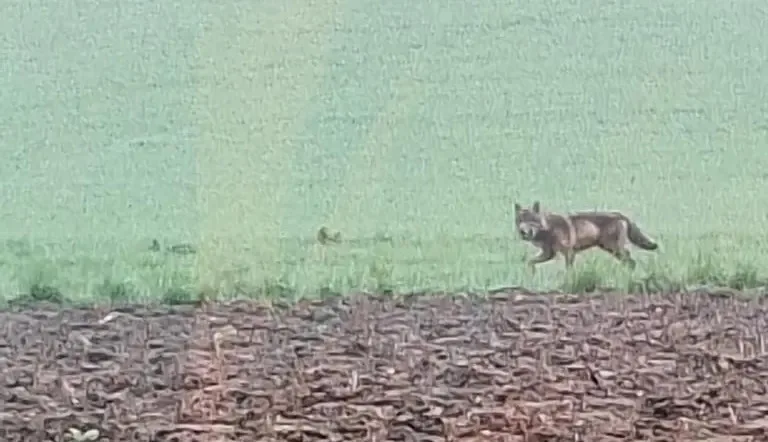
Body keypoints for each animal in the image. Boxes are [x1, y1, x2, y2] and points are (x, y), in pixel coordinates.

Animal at [514, 201, 658, 271]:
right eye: (520, 221)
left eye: (530, 220)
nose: (522, 232)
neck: (548, 228)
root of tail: (619, 214)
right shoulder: (548, 254)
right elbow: (530, 262)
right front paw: (531, 273)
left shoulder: (569, 253)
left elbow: (569, 271)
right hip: (611, 249)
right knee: (629, 261)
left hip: (614, 248)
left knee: (630, 261)